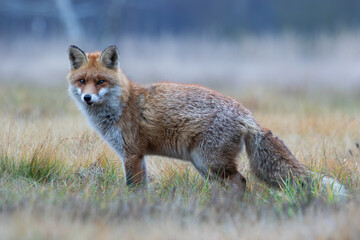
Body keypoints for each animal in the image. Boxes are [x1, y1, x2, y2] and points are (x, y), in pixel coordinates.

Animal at [67, 45, 346, 194]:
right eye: (82, 81)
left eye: (100, 81)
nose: (88, 98)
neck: (121, 105)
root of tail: (246, 113)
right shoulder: (138, 156)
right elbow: (142, 187)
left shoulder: (132, 154)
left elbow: (133, 188)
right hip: (205, 166)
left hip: (210, 163)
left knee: (240, 181)